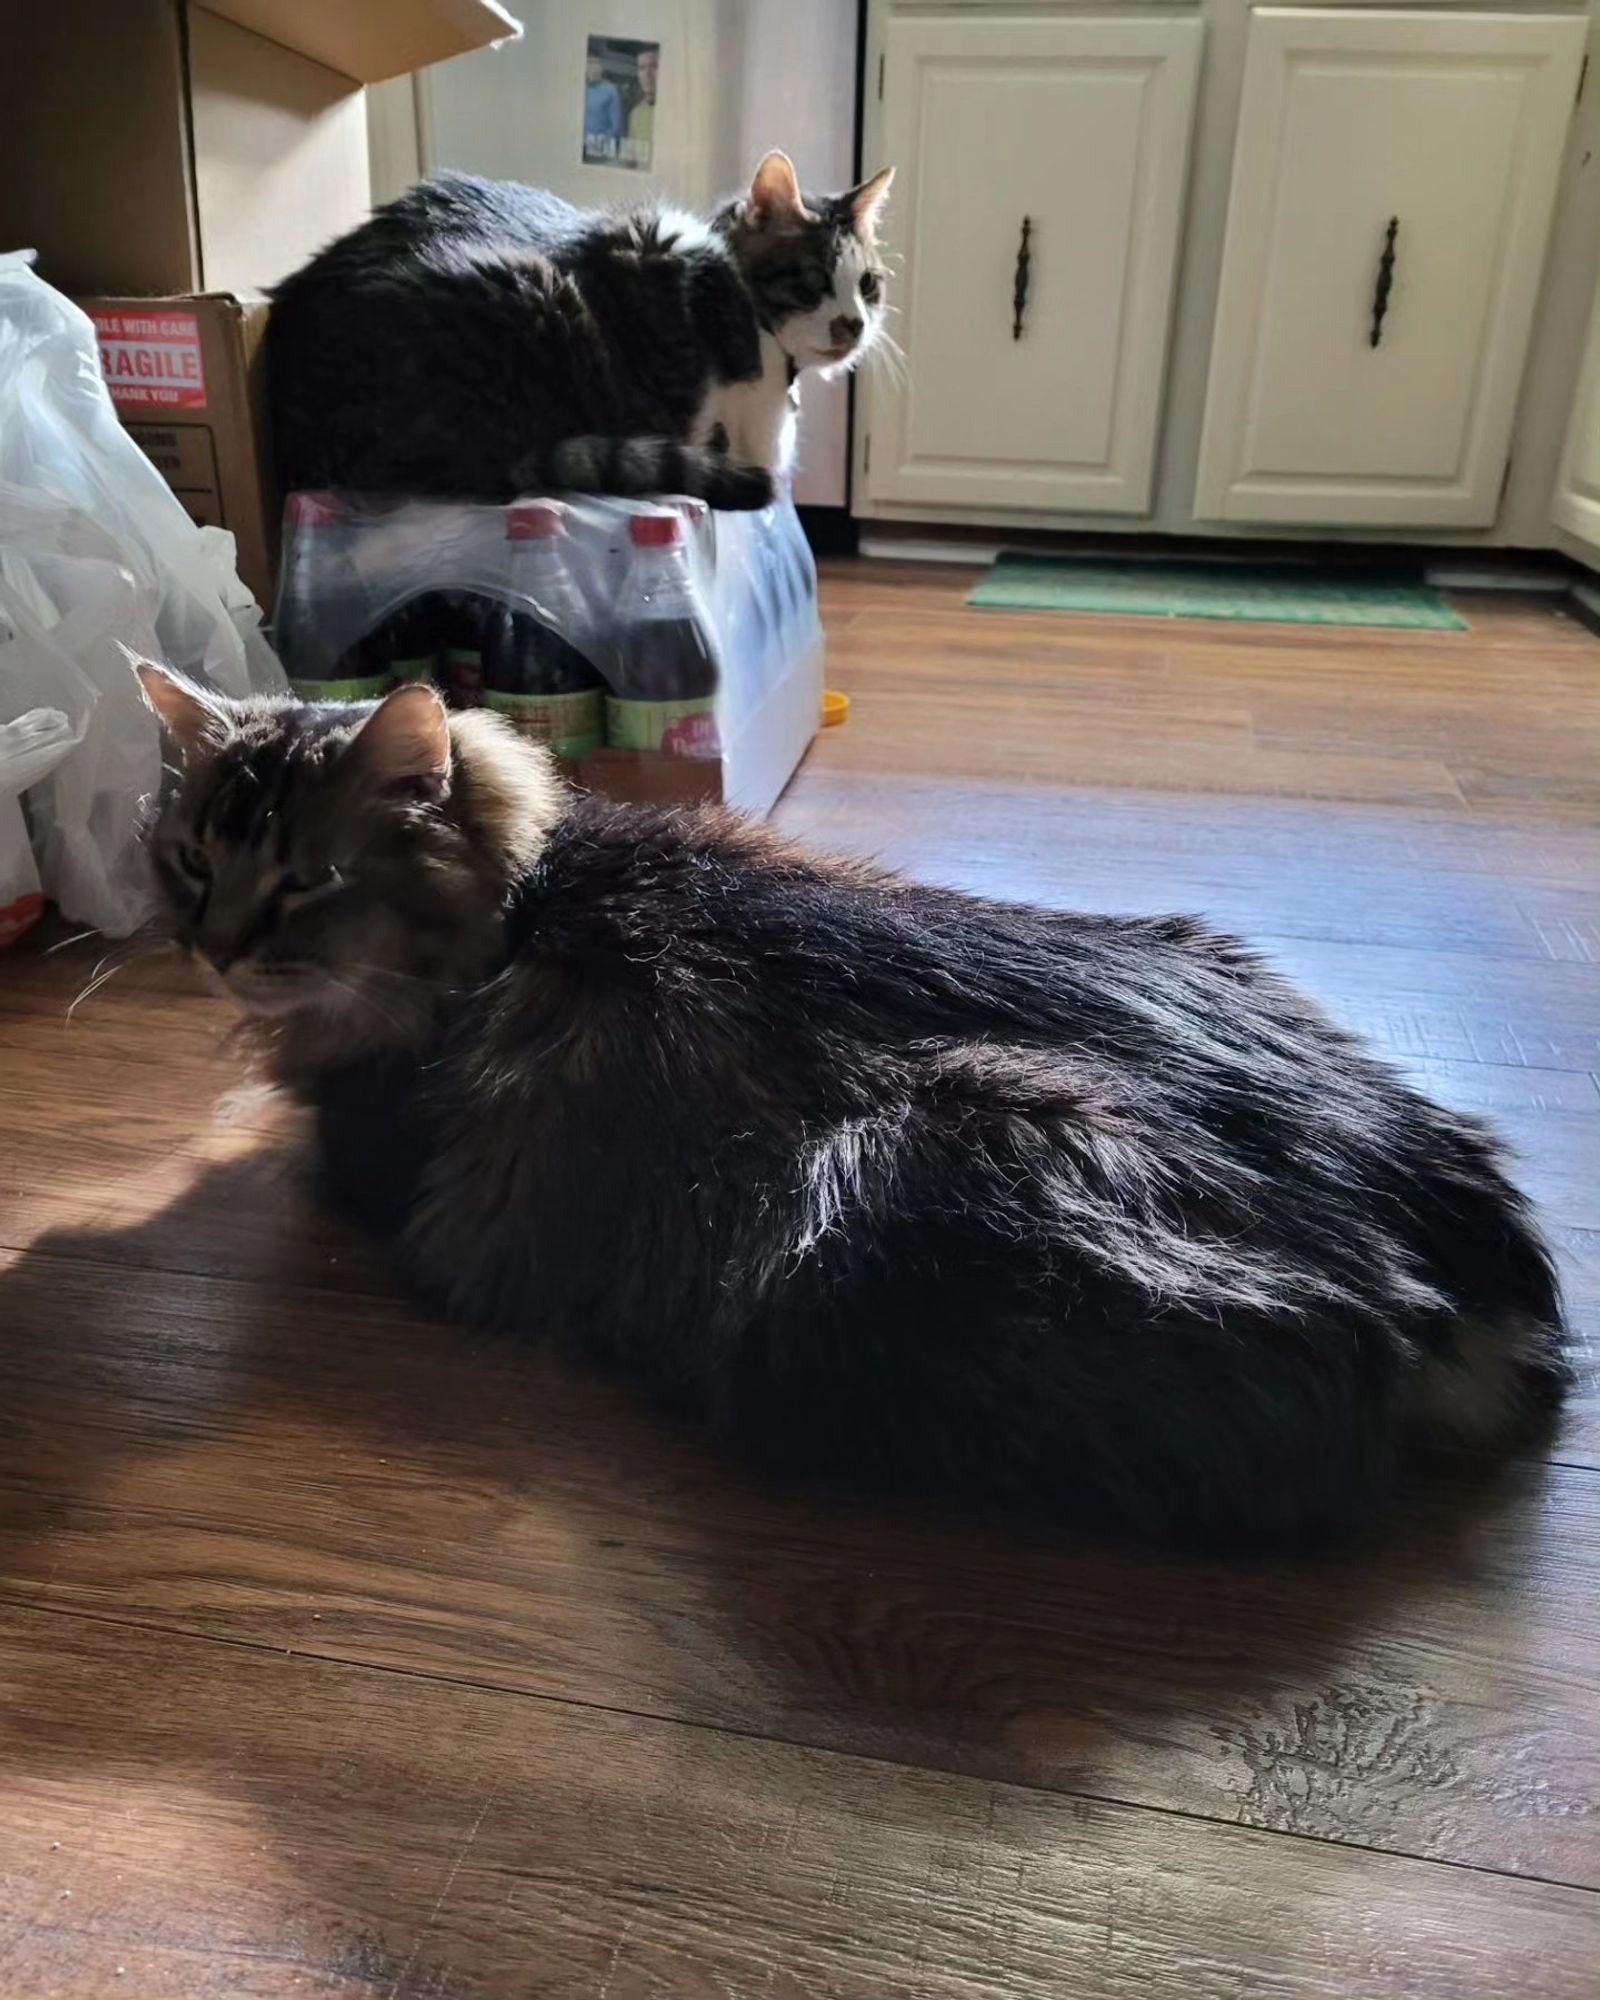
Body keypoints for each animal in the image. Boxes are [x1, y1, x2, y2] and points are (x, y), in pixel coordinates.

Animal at [134, 672, 1560, 1544]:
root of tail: (1446, 1234)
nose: (211, 945)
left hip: (860, 1246)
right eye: (192, 857)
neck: (526, 898)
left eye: (305, 882)